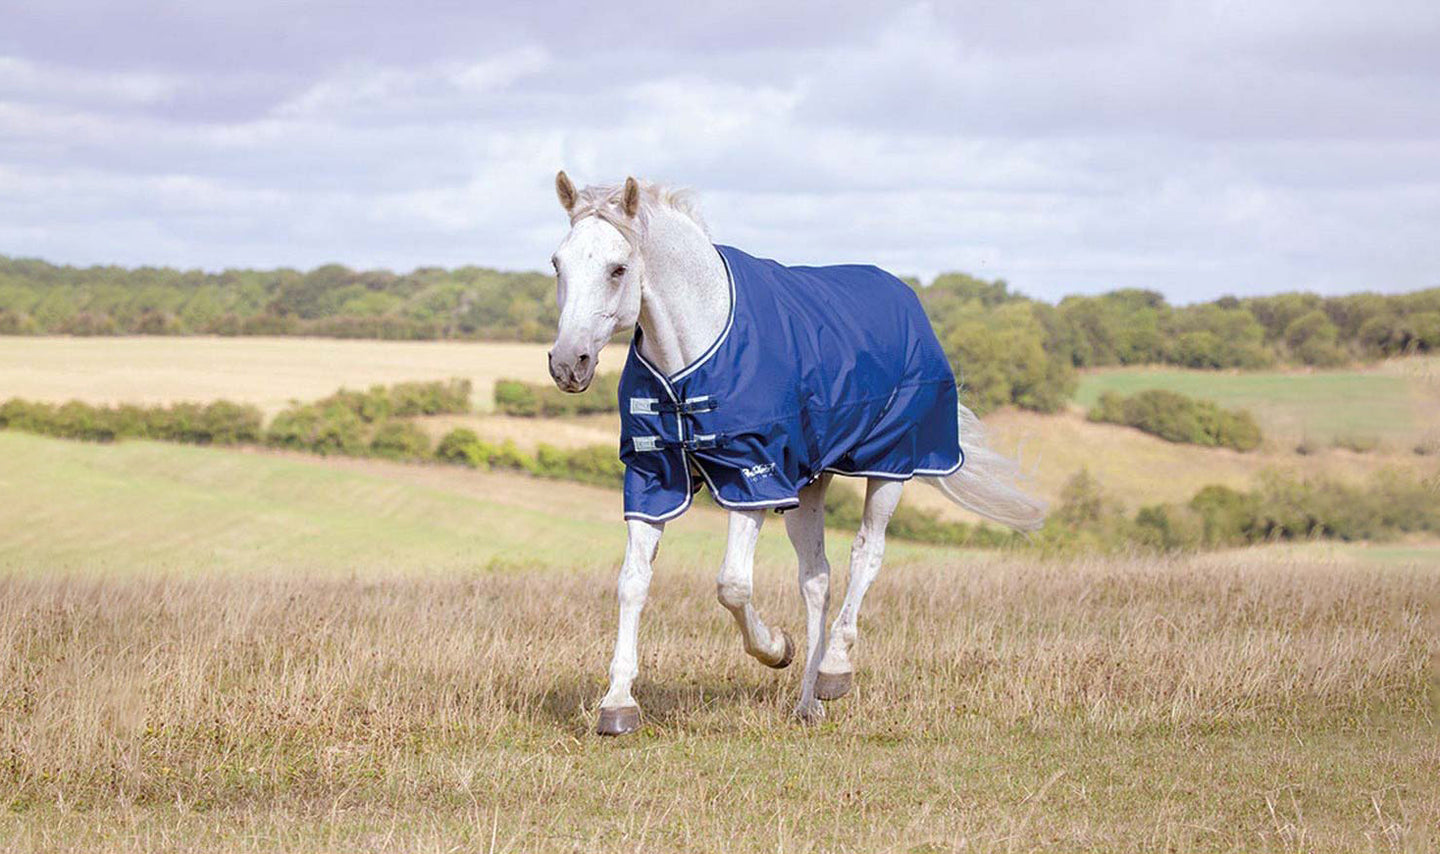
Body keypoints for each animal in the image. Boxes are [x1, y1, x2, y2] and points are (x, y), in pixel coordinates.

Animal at [544, 172, 1042, 731]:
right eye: (558, 263)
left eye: (618, 268)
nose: (567, 363)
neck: (693, 354)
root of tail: (908, 299)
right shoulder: (654, 479)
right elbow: (633, 582)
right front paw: (617, 703)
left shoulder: (752, 477)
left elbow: (732, 585)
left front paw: (776, 648)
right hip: (810, 485)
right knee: (817, 579)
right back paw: (808, 702)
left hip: (891, 465)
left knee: (866, 553)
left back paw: (834, 670)